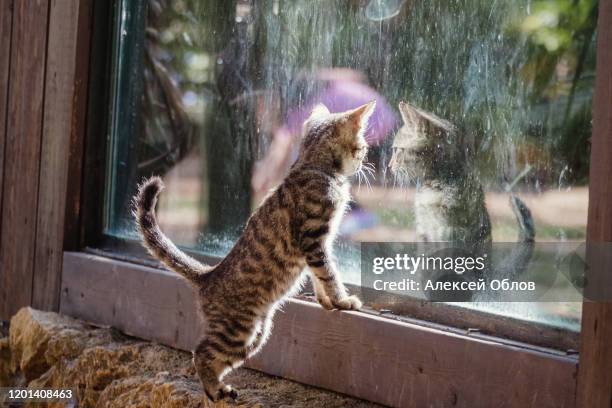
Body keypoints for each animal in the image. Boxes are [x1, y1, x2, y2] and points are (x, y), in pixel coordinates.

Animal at [135, 101, 372, 402]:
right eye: (362, 147)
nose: (365, 161)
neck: (311, 165)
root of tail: (208, 275)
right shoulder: (314, 240)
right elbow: (329, 274)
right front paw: (342, 300)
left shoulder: (321, 243)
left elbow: (320, 277)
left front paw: (327, 302)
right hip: (238, 330)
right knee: (200, 353)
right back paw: (214, 390)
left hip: (257, 334)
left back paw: (219, 389)